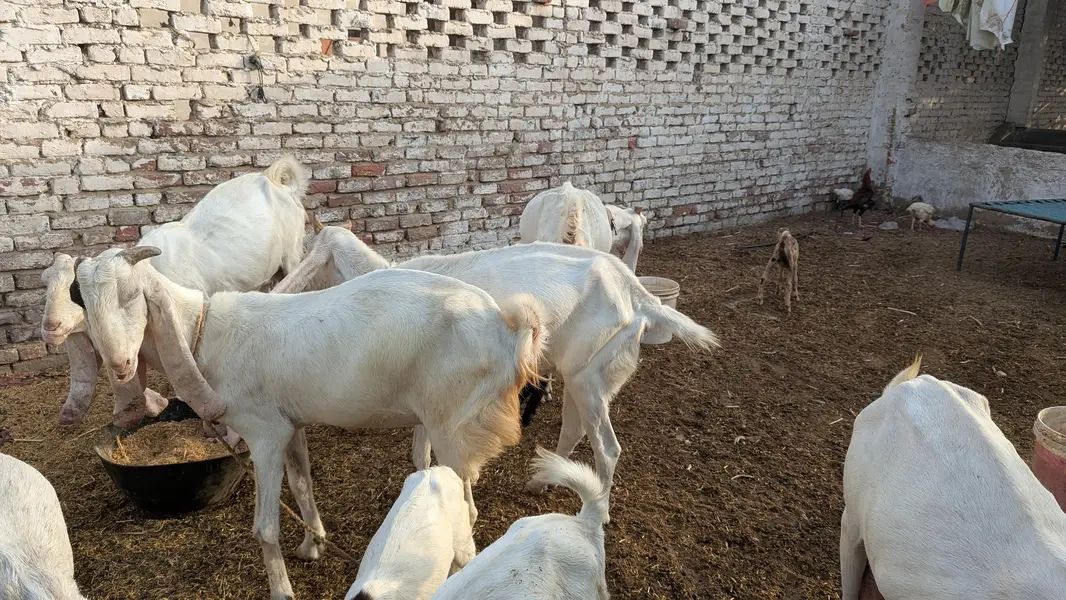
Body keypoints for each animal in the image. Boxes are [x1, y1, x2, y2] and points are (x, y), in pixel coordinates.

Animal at [272, 224, 720, 518]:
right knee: (575, 428)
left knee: (608, 448)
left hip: (588, 377)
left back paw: (600, 511)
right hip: (583, 373)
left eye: (316, 262)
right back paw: (542, 481)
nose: (279, 290)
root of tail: (639, 295)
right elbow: (421, 450)